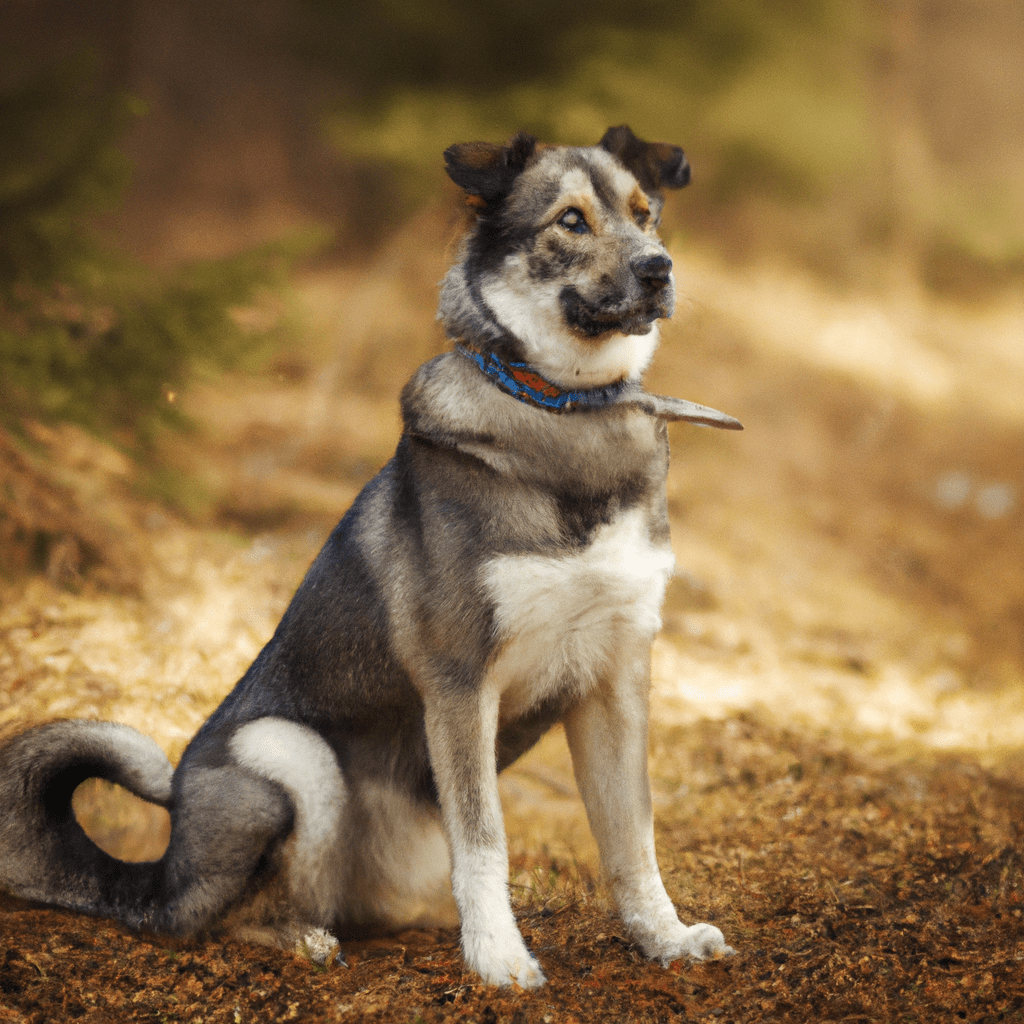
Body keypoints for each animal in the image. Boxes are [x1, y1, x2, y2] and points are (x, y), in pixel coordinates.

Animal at [0, 123, 745, 987]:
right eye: (569, 221)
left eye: (644, 214)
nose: (660, 270)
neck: (566, 410)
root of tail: (155, 876)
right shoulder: (459, 680)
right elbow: (485, 840)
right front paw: (498, 958)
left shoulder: (616, 677)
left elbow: (633, 837)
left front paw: (664, 938)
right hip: (288, 755)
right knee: (210, 919)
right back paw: (300, 938)